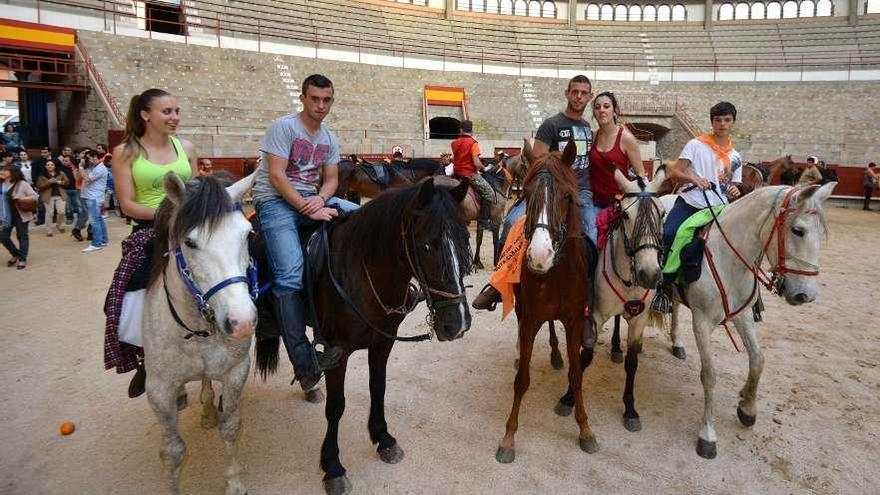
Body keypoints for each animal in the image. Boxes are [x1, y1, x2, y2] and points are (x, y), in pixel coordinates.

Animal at [144, 171, 258, 495]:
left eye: (248, 235)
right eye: (190, 242)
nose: (242, 321)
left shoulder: (236, 371)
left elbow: (230, 428)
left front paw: (234, 483)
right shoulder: (158, 390)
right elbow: (172, 452)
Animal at [496, 139, 600, 464]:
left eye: (567, 196)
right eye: (527, 195)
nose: (539, 256)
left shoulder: (575, 321)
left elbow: (576, 375)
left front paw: (585, 429)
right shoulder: (530, 318)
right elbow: (521, 380)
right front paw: (508, 437)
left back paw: (555, 353)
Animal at [656, 183, 836, 462]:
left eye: (822, 234)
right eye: (798, 230)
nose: (805, 295)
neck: (727, 257)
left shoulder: (743, 316)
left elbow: (758, 360)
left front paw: (748, 407)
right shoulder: (702, 321)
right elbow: (709, 375)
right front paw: (707, 435)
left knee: (675, 306)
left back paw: (677, 343)